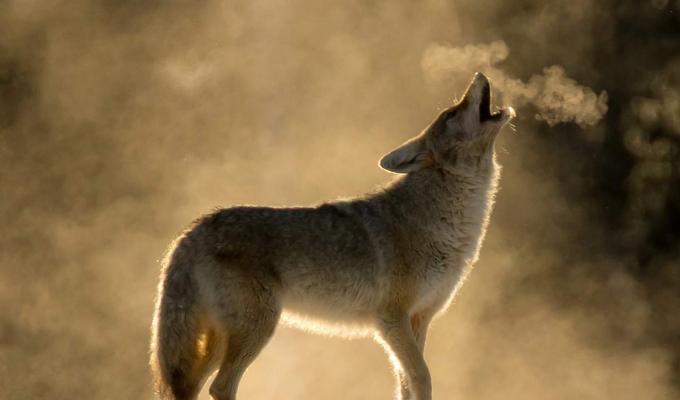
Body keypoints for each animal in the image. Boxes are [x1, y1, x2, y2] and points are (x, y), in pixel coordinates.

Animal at [150, 72, 515, 400]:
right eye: (451, 113)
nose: (479, 74)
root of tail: (192, 230)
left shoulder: (418, 320)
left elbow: (406, 385)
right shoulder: (391, 320)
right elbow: (422, 378)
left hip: (222, 340)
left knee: (193, 388)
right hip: (258, 329)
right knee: (220, 387)